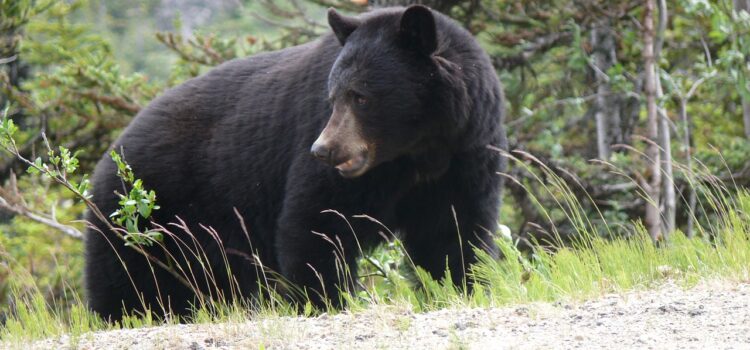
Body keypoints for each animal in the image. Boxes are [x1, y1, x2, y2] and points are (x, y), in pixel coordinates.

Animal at [85, 4, 508, 320]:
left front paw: (460, 287)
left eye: (361, 96)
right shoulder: (336, 168)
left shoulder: (465, 155)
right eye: (333, 96)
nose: (323, 150)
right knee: (127, 281)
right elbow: (316, 223)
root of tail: (109, 157)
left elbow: (452, 232)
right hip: (141, 216)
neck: (417, 152)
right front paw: (325, 300)